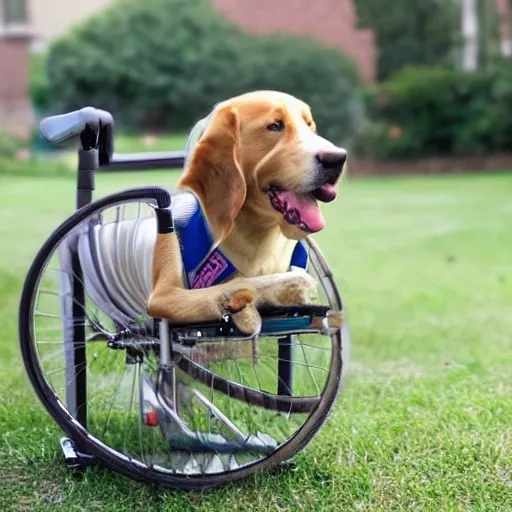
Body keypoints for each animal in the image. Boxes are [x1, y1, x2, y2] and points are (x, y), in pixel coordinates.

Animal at [148, 90, 348, 334]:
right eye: (275, 126)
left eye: (310, 126)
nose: (338, 157)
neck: (258, 235)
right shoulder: (164, 296)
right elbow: (239, 284)